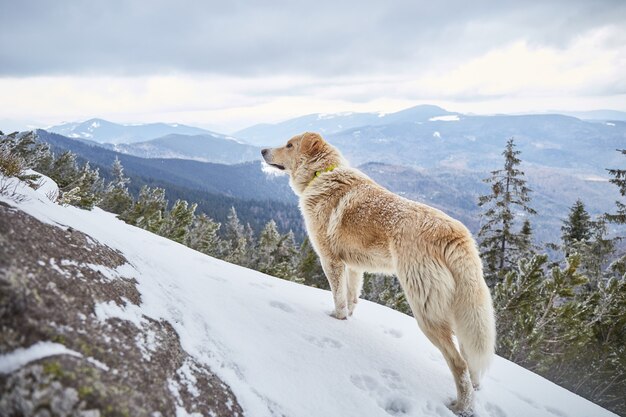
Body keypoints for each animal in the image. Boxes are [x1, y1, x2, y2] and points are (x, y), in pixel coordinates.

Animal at [258, 132, 492, 414]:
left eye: (289, 145)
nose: (262, 150)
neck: (321, 174)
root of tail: (455, 233)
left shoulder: (330, 260)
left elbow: (338, 297)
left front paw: (335, 319)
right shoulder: (353, 267)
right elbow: (351, 298)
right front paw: (347, 320)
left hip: (426, 311)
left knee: (458, 363)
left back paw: (461, 407)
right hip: (463, 310)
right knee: (470, 359)